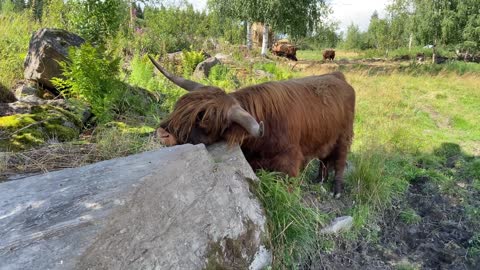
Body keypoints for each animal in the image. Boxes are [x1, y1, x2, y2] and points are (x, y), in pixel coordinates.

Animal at [150, 55, 356, 196]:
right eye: (178, 106)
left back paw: (336, 190)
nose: (162, 134)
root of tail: (337, 76)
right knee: (324, 160)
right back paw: (319, 179)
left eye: (206, 121)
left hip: (344, 137)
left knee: (339, 161)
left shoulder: (289, 164)